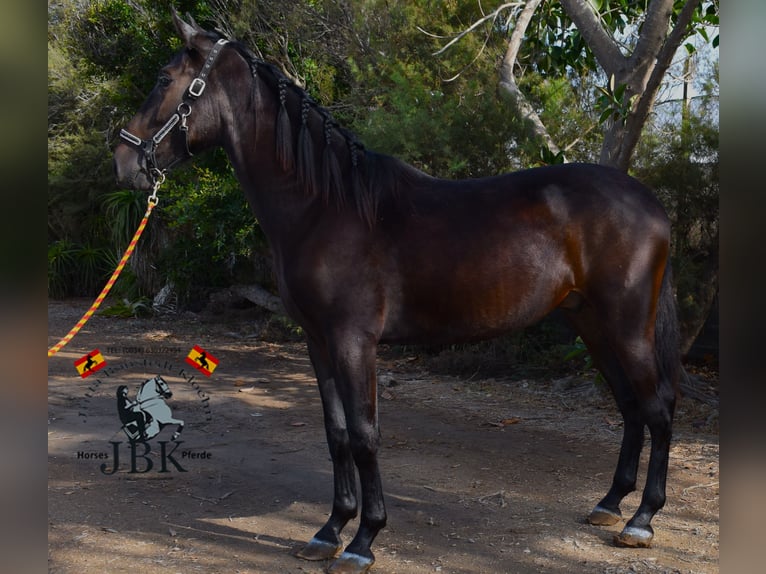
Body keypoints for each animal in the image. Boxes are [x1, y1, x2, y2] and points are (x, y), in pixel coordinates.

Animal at [112, 9, 680, 574]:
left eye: (164, 78)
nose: (121, 158)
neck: (325, 208)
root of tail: (651, 202)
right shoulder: (318, 342)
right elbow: (337, 433)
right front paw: (329, 531)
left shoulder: (353, 341)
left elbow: (365, 436)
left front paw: (363, 541)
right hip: (591, 324)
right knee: (631, 407)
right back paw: (610, 504)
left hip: (627, 326)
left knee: (657, 409)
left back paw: (641, 520)